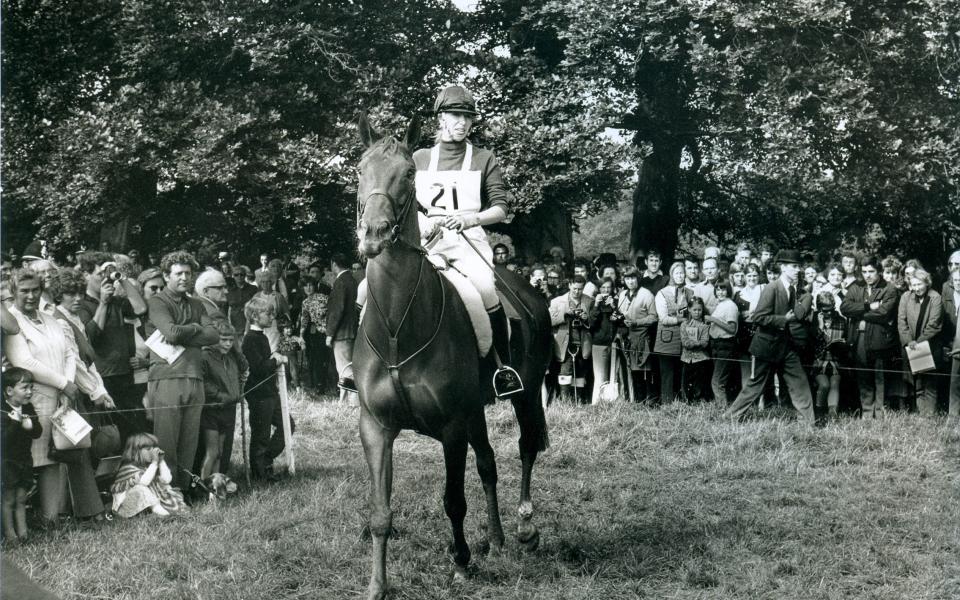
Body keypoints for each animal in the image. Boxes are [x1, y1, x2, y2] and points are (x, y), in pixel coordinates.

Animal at [354, 113, 552, 600]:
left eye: (408, 174)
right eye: (360, 170)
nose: (373, 235)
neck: (398, 329)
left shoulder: (450, 427)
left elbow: (453, 499)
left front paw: (461, 563)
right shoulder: (375, 428)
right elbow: (380, 513)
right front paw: (377, 585)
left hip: (525, 393)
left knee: (525, 447)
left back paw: (525, 527)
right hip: (475, 409)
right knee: (489, 464)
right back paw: (496, 538)